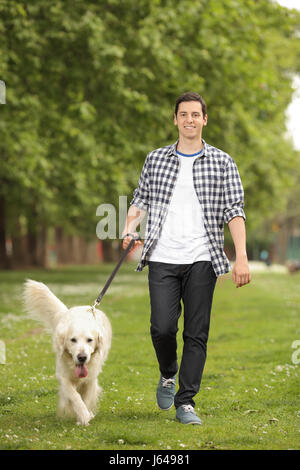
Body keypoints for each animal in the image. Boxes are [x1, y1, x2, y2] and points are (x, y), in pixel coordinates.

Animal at [23, 280, 112, 426]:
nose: (82, 357)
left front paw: (85, 415)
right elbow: (74, 396)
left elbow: (86, 398)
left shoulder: (91, 379)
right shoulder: (63, 376)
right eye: (73, 340)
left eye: (90, 340)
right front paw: (82, 415)